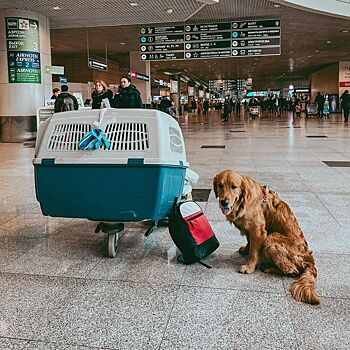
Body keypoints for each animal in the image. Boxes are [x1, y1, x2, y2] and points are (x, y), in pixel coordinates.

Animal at [212, 169, 322, 304]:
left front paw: (249, 267)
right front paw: (245, 250)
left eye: (233, 186)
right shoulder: (251, 229)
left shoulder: (258, 230)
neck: (243, 201)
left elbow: (254, 252)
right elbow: (250, 242)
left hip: (272, 238)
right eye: (220, 185)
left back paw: (268, 267)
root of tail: (309, 260)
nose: (224, 202)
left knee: (293, 270)